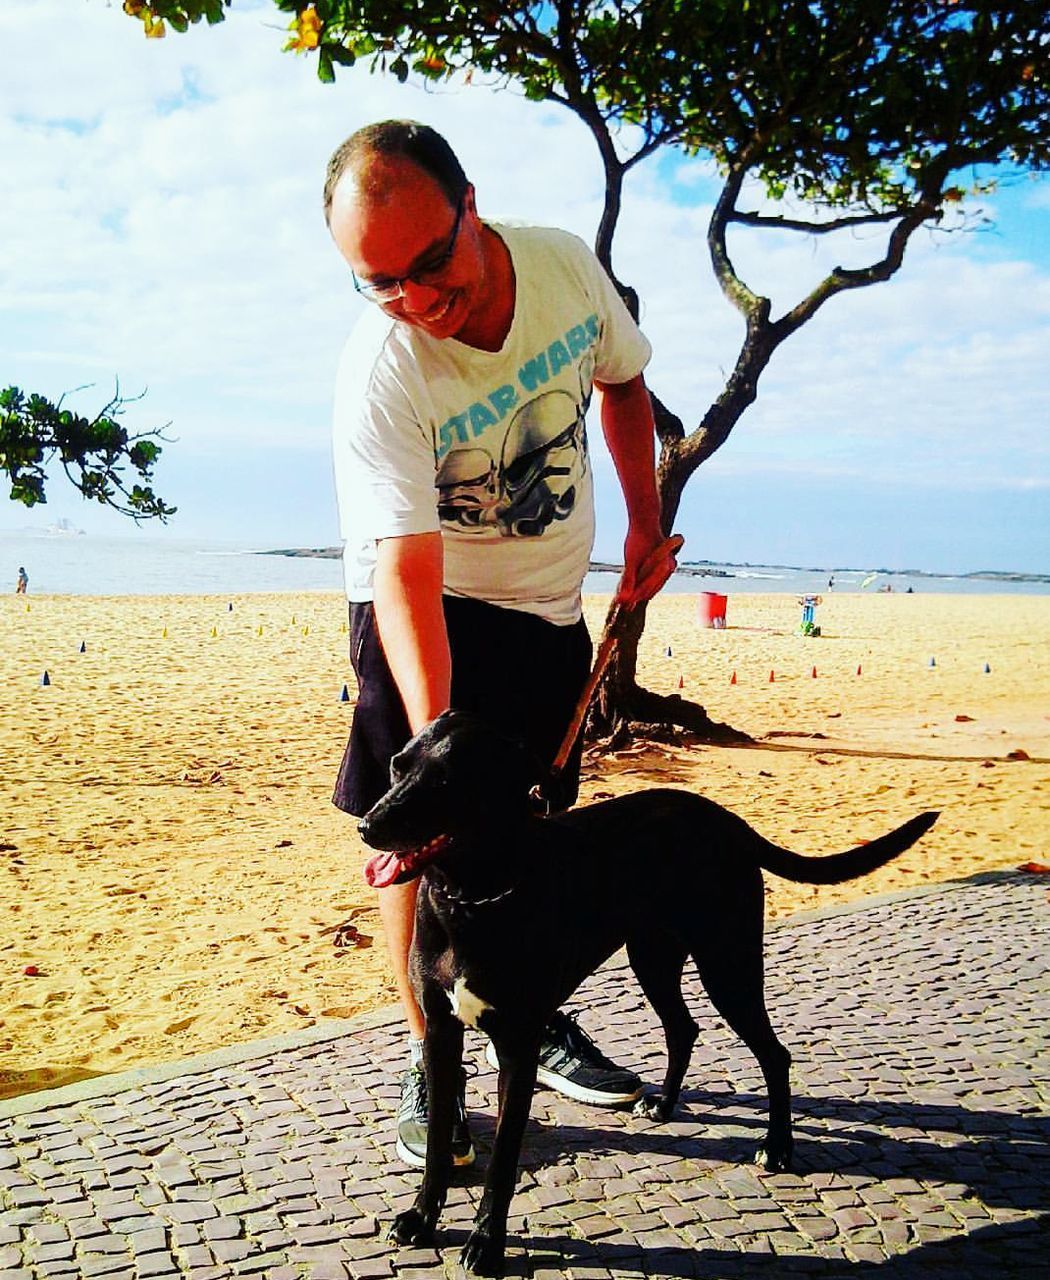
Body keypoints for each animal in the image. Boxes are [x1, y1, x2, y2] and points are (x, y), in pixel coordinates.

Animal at [358, 711, 937, 1269]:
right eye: (397, 766)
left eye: (446, 779)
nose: (368, 826)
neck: (472, 897)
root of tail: (726, 820)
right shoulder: (441, 1033)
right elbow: (438, 1144)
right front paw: (421, 1218)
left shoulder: (518, 1048)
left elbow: (502, 1161)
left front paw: (486, 1241)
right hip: (654, 959)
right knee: (684, 1028)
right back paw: (663, 1105)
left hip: (728, 967)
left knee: (774, 1054)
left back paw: (777, 1147)